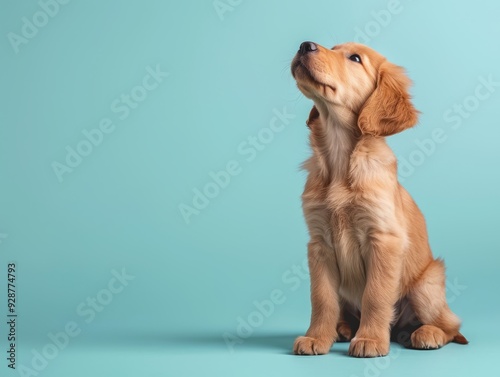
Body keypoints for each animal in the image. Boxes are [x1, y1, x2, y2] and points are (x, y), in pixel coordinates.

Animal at [292, 41, 466, 356]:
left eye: (355, 58)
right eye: (332, 47)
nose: (304, 45)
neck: (340, 158)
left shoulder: (384, 239)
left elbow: (375, 295)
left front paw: (371, 340)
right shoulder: (319, 243)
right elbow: (321, 298)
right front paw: (316, 337)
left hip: (427, 285)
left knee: (450, 324)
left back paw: (424, 333)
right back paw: (344, 328)